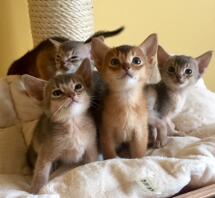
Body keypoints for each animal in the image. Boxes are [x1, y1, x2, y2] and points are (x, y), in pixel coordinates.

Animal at [21, 58, 97, 193]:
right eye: (57, 93)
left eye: (78, 86)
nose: (72, 95)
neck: (73, 125)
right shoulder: (45, 154)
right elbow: (40, 172)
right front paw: (35, 191)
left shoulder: (90, 146)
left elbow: (92, 162)